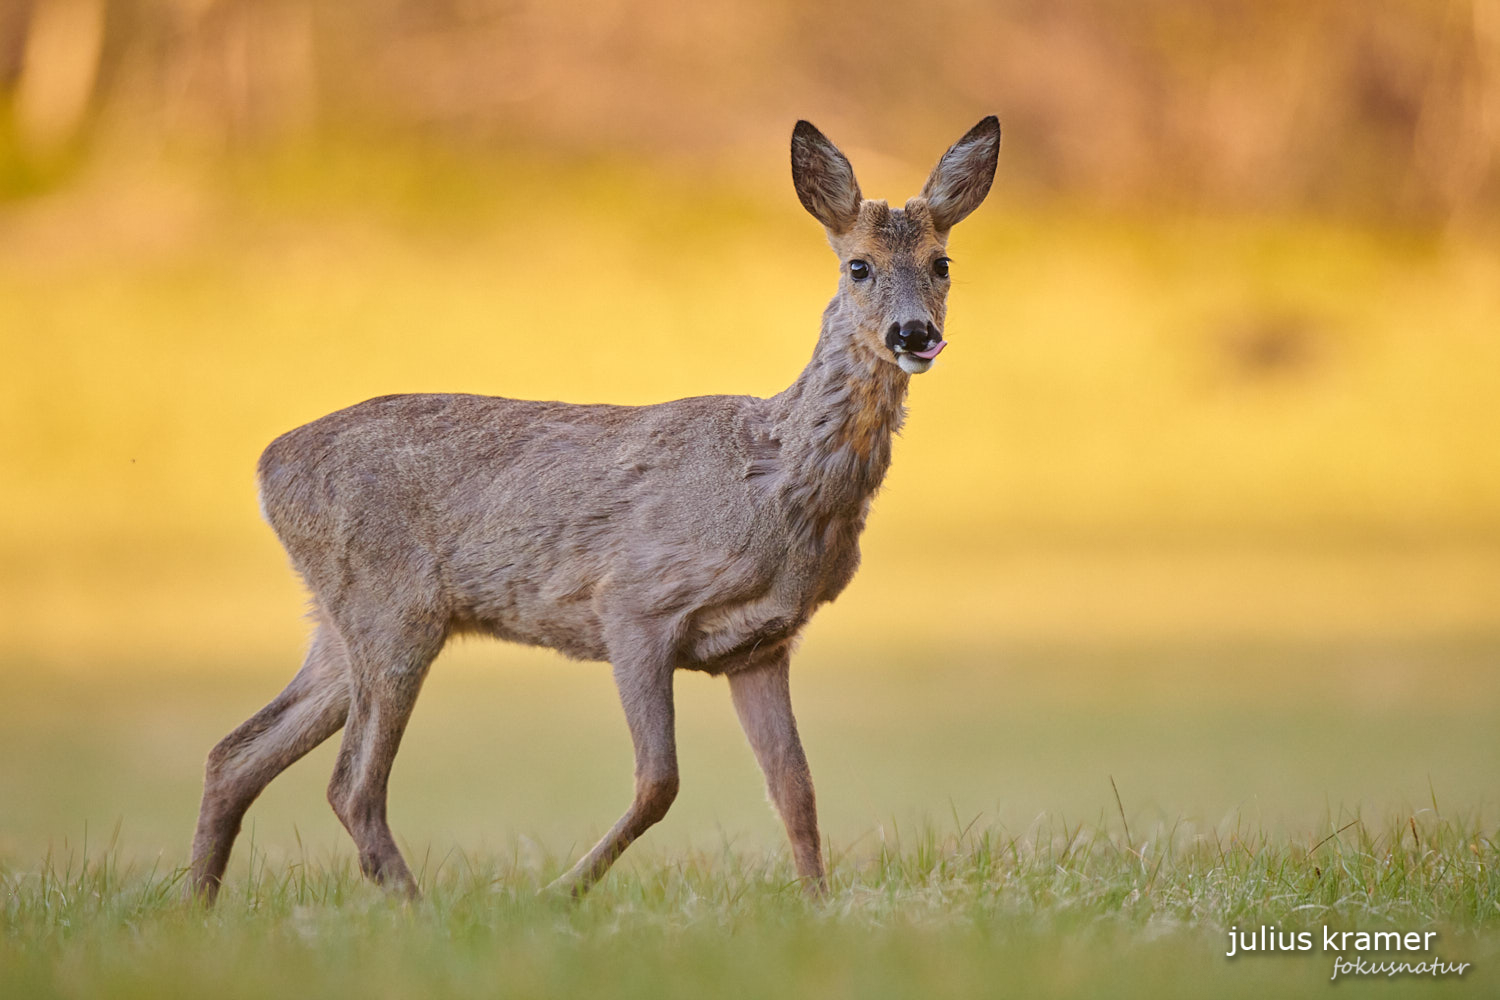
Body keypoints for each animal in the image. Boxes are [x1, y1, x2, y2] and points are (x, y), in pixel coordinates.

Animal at [190, 113, 1008, 905]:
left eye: (942, 263)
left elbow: (796, 791)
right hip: (392, 605)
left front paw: (818, 911)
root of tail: (269, 465)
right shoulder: (635, 603)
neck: (778, 485)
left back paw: (198, 904)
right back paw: (420, 911)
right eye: (857, 266)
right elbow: (660, 782)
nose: (915, 334)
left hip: (340, 621)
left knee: (236, 752)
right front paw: (561, 892)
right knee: (350, 784)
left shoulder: (761, 646)